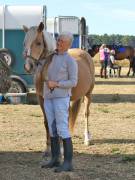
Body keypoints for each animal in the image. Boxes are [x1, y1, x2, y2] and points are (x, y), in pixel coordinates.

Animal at [22, 22, 95, 155]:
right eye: (25, 43)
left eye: (38, 43)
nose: (28, 66)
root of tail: (84, 53)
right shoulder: (42, 99)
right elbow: (47, 122)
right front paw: (47, 149)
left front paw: (60, 148)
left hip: (88, 94)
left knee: (86, 114)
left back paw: (87, 139)